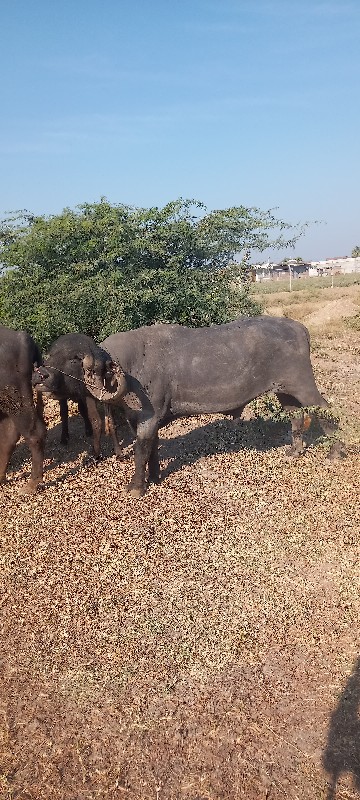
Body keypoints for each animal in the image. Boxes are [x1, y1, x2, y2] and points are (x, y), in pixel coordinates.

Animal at [32, 332, 127, 460]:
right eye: (49, 357)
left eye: (74, 360)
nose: (40, 375)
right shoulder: (86, 396)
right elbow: (96, 421)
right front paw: (96, 453)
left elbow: (110, 421)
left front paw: (118, 452)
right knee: (65, 413)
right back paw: (65, 437)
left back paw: (87, 430)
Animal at [81, 316, 344, 496]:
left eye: (96, 365)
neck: (132, 365)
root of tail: (299, 328)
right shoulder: (145, 421)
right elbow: (152, 449)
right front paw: (154, 477)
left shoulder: (149, 417)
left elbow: (141, 451)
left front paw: (136, 487)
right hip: (285, 392)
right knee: (296, 415)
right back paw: (295, 450)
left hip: (303, 386)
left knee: (326, 411)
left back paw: (335, 452)